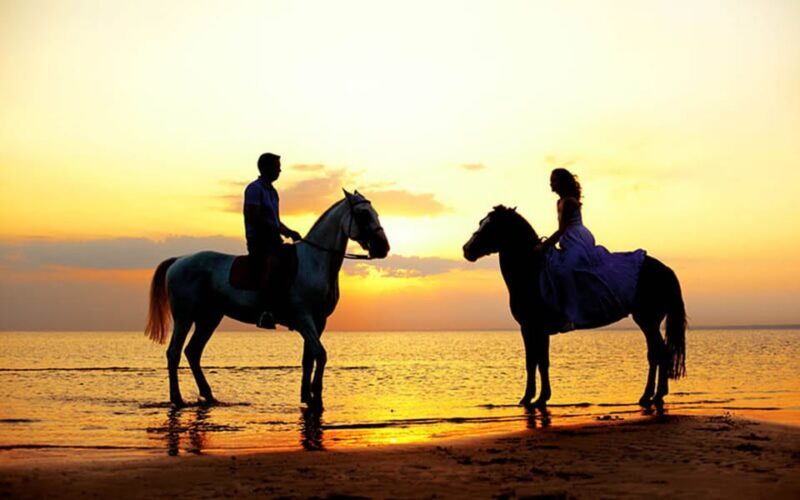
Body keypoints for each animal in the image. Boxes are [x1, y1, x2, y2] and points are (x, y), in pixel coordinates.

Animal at [144, 190, 389, 409]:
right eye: (364, 214)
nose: (383, 247)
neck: (315, 261)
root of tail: (179, 260)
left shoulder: (319, 321)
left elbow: (309, 357)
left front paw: (307, 397)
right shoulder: (303, 317)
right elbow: (320, 354)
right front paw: (317, 399)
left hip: (209, 318)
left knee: (193, 352)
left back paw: (209, 396)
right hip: (184, 317)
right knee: (174, 352)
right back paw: (177, 399)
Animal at [462, 205, 686, 411]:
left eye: (490, 226)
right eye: (481, 222)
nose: (466, 249)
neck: (532, 271)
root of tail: (665, 269)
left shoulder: (533, 327)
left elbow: (537, 361)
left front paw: (535, 398)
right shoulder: (532, 329)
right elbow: (536, 361)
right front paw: (534, 398)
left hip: (647, 319)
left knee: (659, 353)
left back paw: (653, 395)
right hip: (648, 321)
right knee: (657, 353)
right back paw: (652, 396)